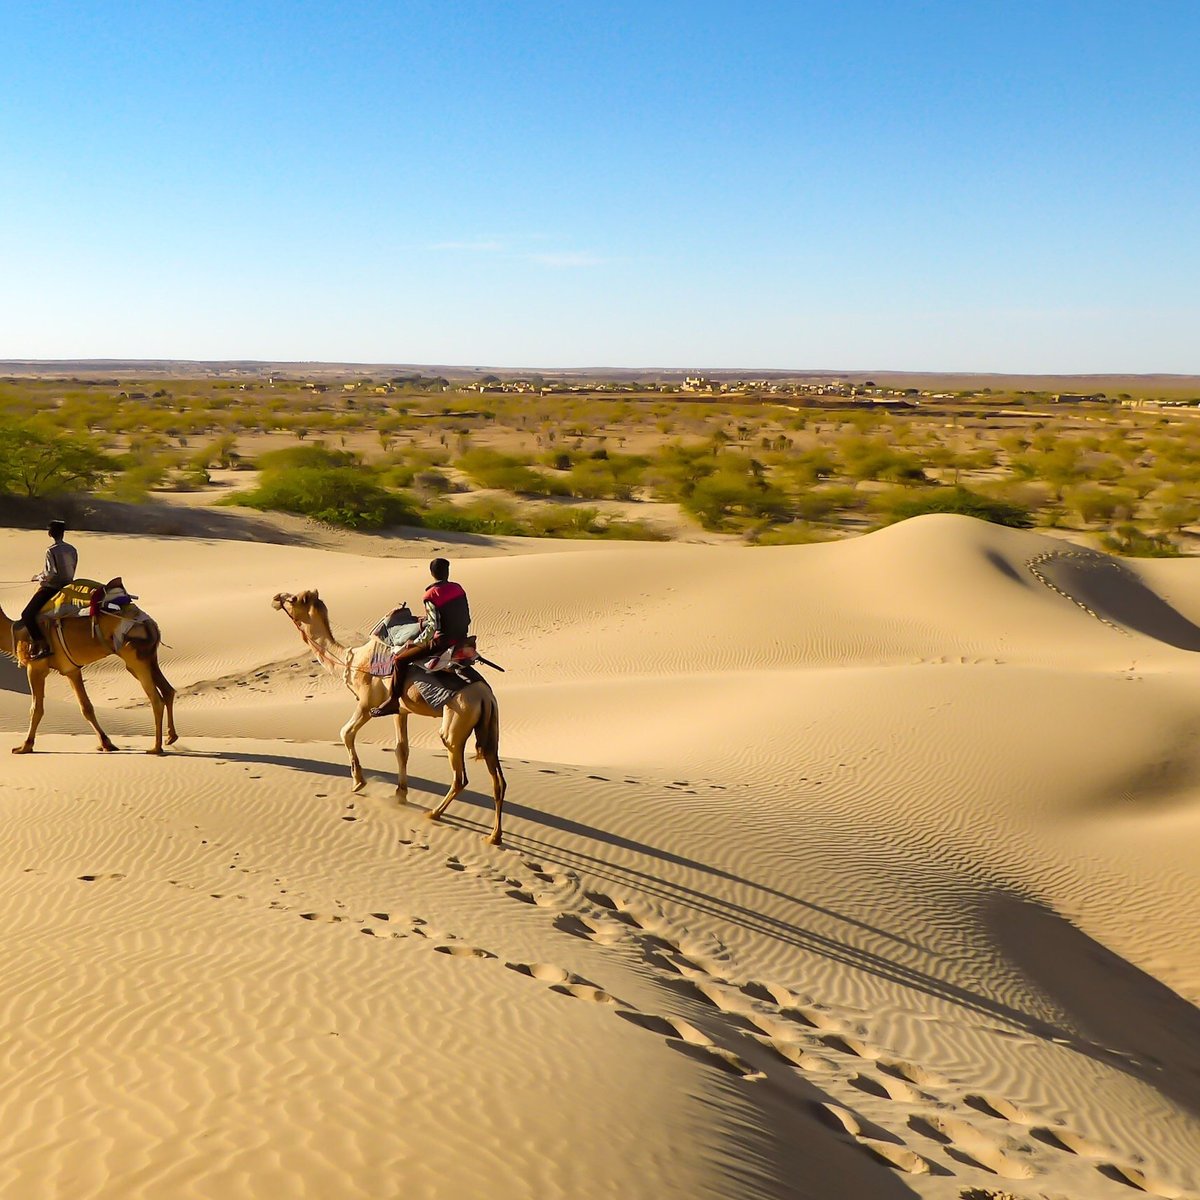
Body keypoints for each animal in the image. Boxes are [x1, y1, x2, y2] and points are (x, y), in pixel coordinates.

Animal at [0, 595, 177, 753]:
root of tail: (149, 622)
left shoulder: (35, 667)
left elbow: (36, 709)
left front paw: (24, 747)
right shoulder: (71, 670)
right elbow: (86, 708)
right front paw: (106, 744)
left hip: (134, 656)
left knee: (156, 699)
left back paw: (156, 748)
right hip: (148, 657)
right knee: (168, 690)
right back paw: (170, 738)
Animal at [272, 590, 506, 844]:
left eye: (293, 599)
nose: (277, 598)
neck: (352, 660)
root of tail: (486, 697)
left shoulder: (366, 704)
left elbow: (346, 732)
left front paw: (359, 782)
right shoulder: (399, 709)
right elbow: (401, 749)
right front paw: (400, 794)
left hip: (457, 722)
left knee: (459, 775)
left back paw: (434, 814)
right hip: (490, 727)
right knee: (498, 781)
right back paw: (494, 836)